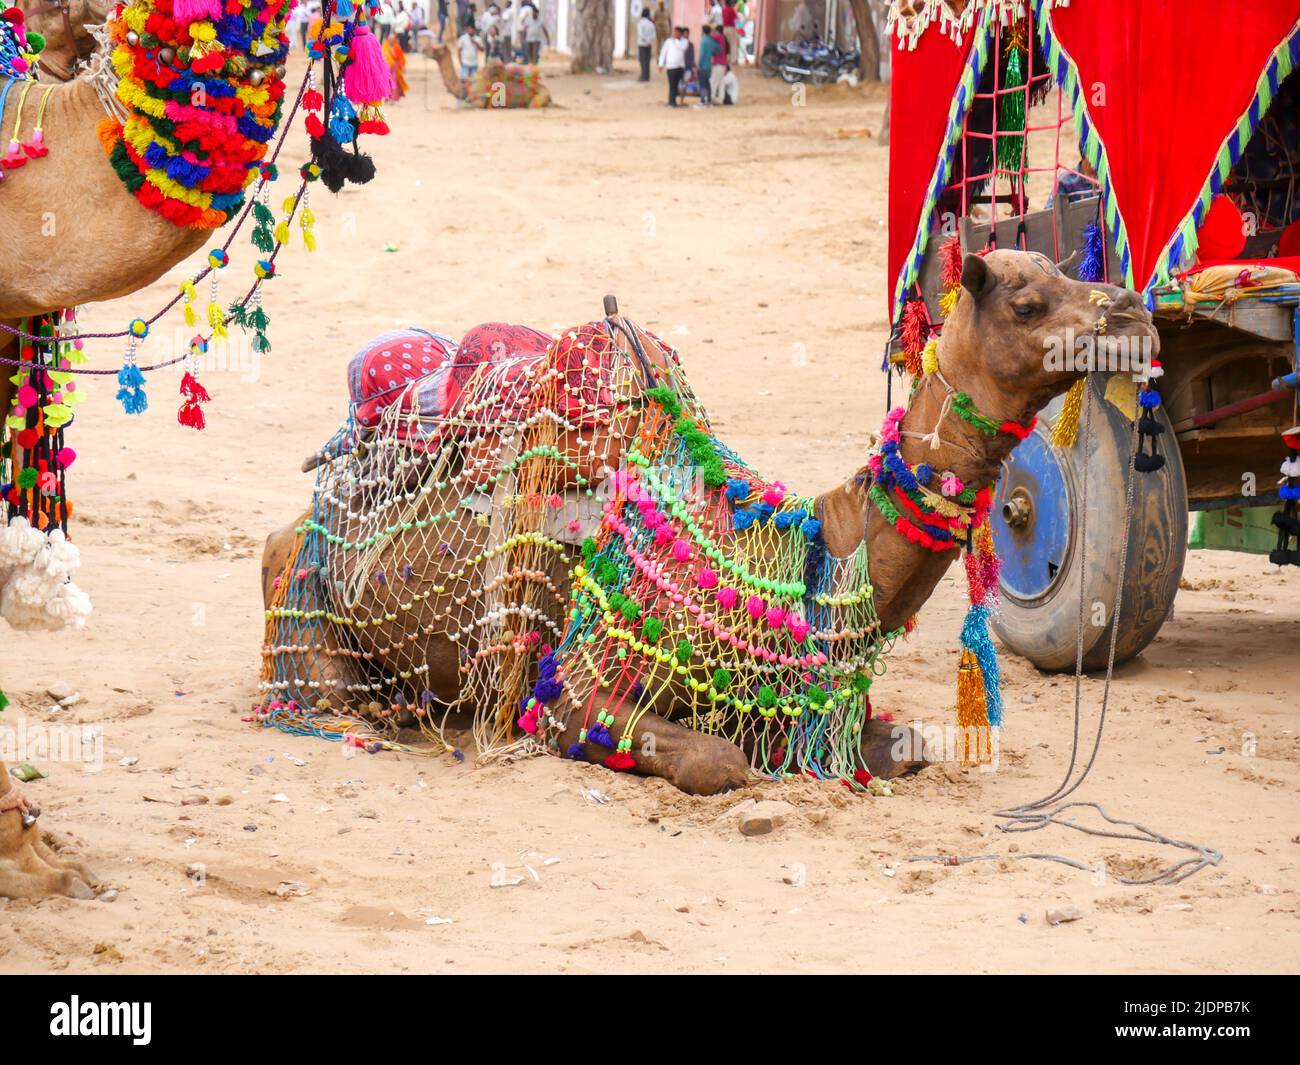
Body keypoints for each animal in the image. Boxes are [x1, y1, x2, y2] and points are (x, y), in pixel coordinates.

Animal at [256, 253, 1159, 795]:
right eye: (1028, 301)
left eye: (1067, 273)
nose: (1133, 313)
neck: (803, 545)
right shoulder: (572, 690)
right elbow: (720, 761)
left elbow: (902, 744)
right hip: (303, 603)